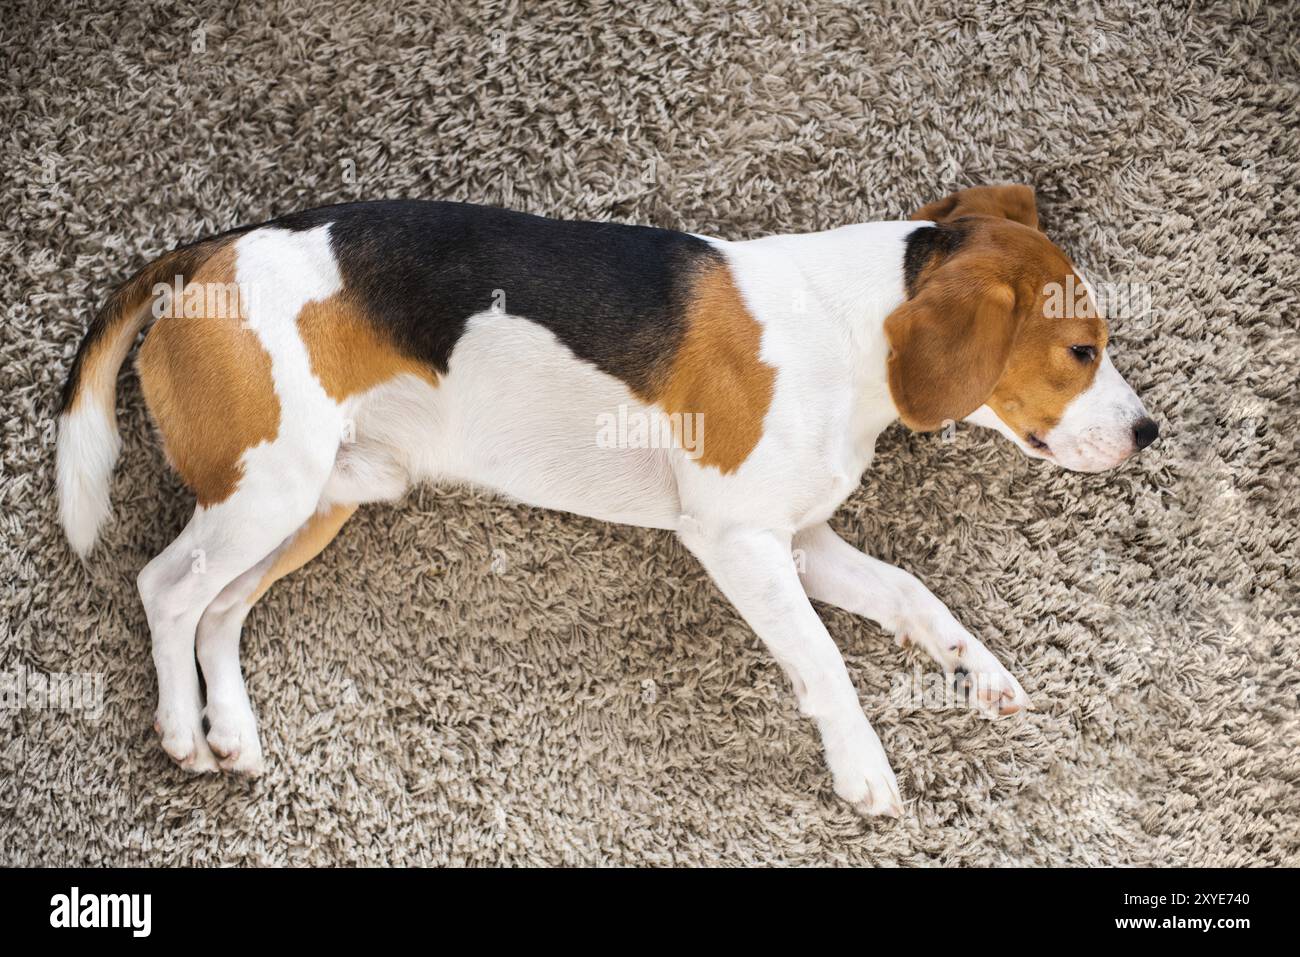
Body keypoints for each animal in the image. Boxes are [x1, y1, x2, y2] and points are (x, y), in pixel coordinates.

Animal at [58, 184, 1159, 816]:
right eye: (1081, 351)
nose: (1149, 432)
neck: (847, 325)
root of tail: (216, 247)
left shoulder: (801, 540)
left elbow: (912, 596)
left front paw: (976, 668)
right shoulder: (738, 540)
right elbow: (826, 662)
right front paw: (862, 769)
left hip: (312, 502)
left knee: (219, 612)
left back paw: (231, 730)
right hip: (267, 486)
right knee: (165, 589)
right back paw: (178, 727)